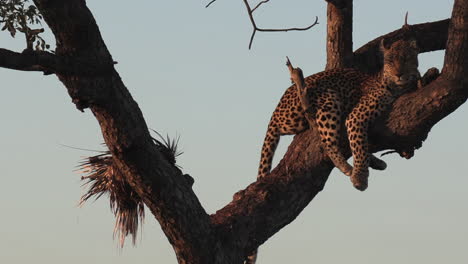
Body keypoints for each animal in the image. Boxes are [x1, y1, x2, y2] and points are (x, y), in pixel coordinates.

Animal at [260, 38, 420, 191]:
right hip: (329, 98)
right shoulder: (356, 116)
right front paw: (360, 177)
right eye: (390, 61)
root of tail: (276, 110)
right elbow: (359, 147)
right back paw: (348, 168)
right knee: (328, 143)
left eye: (406, 59)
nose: (399, 74)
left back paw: (376, 162)